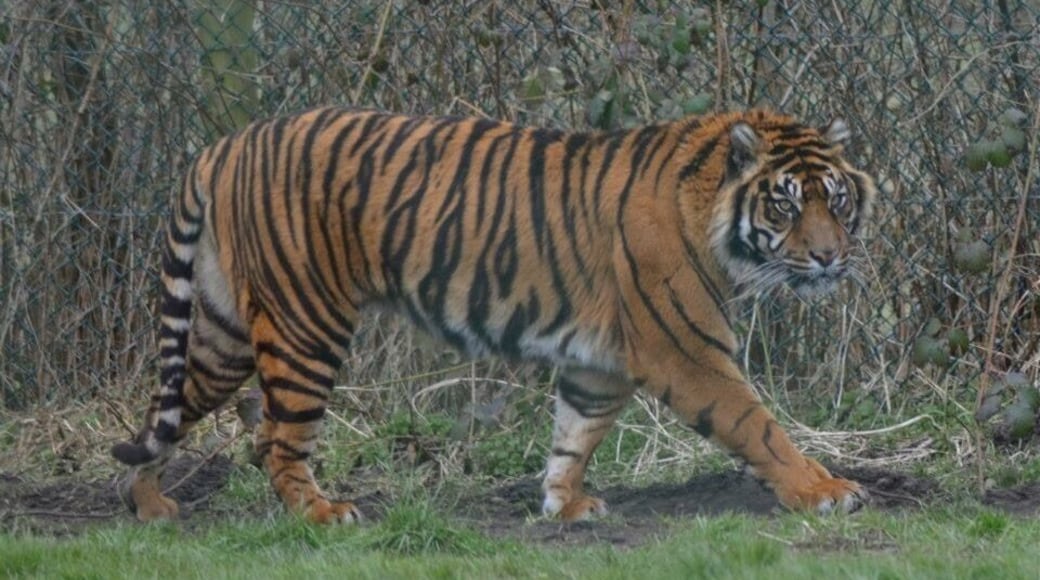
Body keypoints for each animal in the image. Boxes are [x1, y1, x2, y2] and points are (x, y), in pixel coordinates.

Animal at [112, 106, 876, 524]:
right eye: (784, 204)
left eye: (836, 200)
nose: (831, 257)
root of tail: (226, 144)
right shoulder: (685, 350)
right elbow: (757, 425)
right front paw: (824, 490)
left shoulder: (598, 363)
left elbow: (576, 433)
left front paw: (564, 504)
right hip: (305, 324)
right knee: (276, 438)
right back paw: (322, 513)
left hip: (223, 330)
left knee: (167, 408)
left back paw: (148, 505)